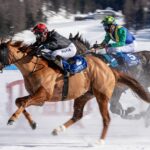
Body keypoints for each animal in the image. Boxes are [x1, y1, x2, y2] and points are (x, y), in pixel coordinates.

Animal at [0, 38, 149, 143]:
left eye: (0, 53)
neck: (34, 67)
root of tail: (110, 69)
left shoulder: (43, 95)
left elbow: (24, 103)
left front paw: (12, 119)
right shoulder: (37, 96)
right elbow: (19, 101)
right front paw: (33, 124)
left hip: (102, 95)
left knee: (106, 118)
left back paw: (99, 142)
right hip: (84, 95)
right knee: (78, 115)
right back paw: (58, 129)